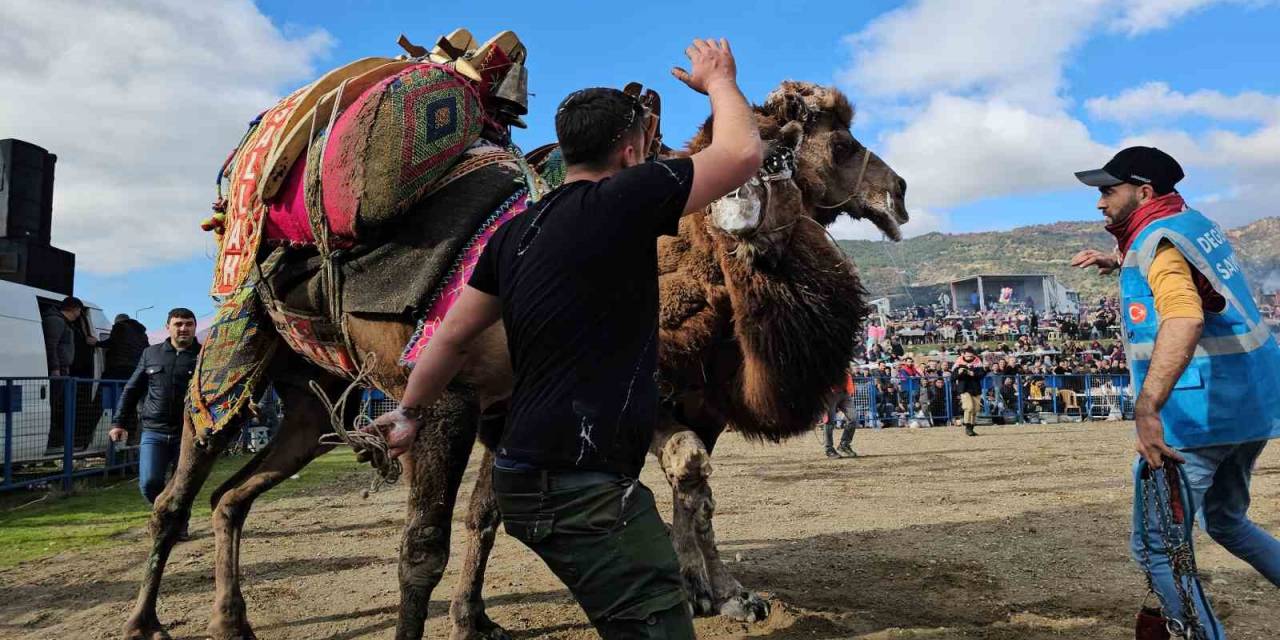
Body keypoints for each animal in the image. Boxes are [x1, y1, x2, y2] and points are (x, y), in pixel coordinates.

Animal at [117, 76, 901, 640]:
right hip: (229, 359)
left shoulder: (542, 404)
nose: (896, 192)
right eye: (840, 140)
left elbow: (497, 517)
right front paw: (709, 592)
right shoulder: (451, 398)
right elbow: (423, 547)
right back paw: (143, 621)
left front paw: (722, 594)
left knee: (231, 498)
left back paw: (232, 621)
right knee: (175, 497)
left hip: (310, 403)